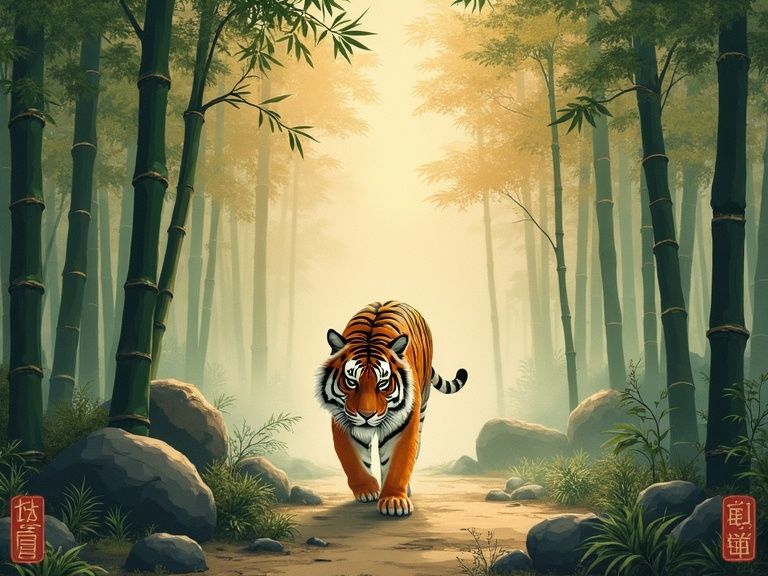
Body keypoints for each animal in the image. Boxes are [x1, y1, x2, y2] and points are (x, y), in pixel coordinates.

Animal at [316, 300, 468, 517]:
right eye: (352, 382)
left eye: (383, 383)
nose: (366, 415)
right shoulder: (342, 420)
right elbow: (352, 459)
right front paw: (367, 490)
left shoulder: (404, 424)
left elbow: (399, 461)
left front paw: (394, 501)